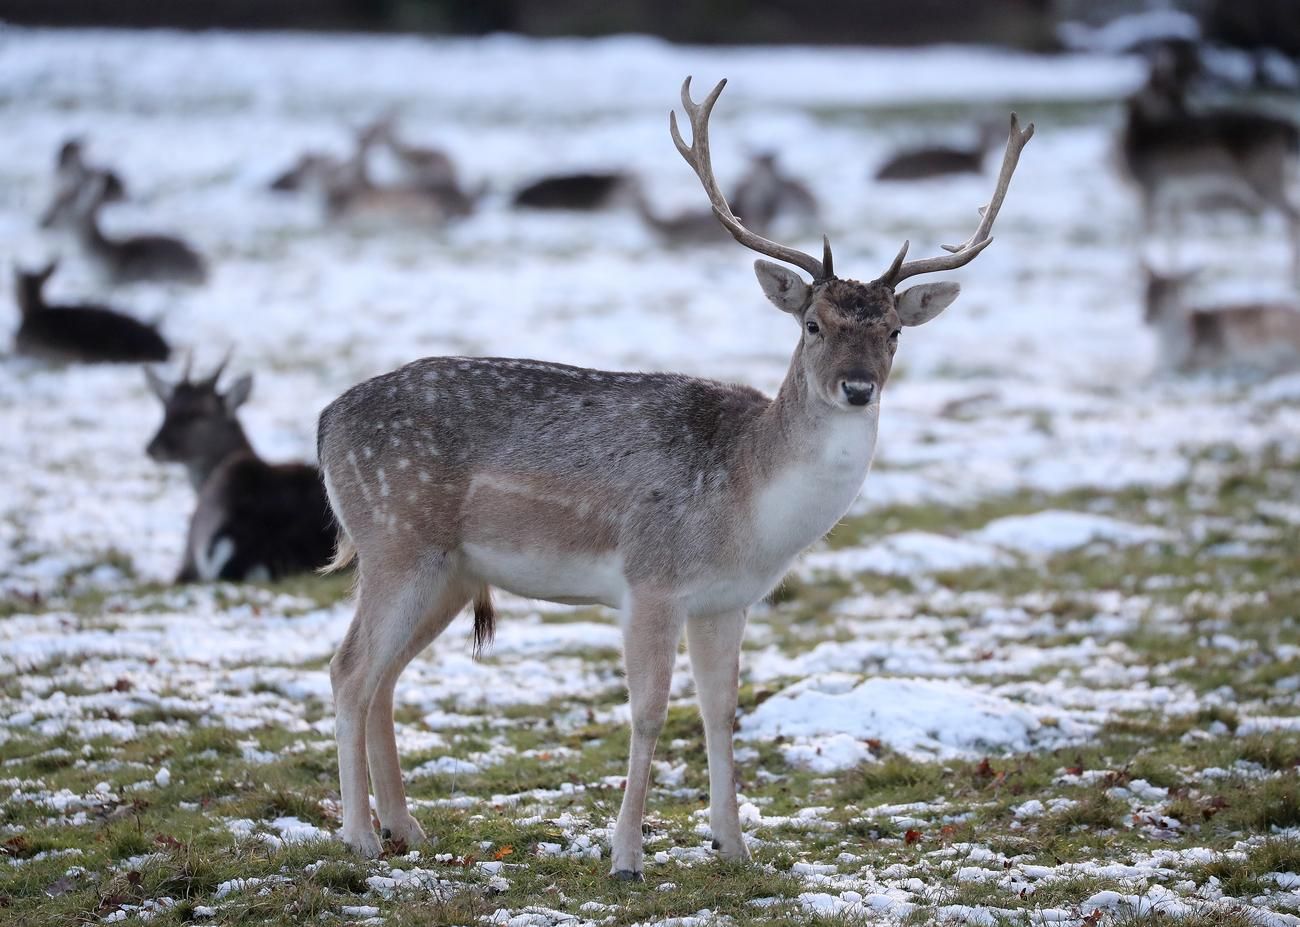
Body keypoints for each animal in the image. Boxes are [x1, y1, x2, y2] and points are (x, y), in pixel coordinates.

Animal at [314, 77, 1034, 873]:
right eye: (812, 324)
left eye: (895, 332)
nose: (856, 388)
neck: (751, 508)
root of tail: (324, 422)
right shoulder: (650, 580)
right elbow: (651, 712)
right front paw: (627, 853)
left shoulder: (727, 600)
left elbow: (722, 710)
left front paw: (734, 845)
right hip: (396, 537)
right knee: (349, 670)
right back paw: (358, 838)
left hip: (446, 569)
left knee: (384, 678)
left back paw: (405, 829)